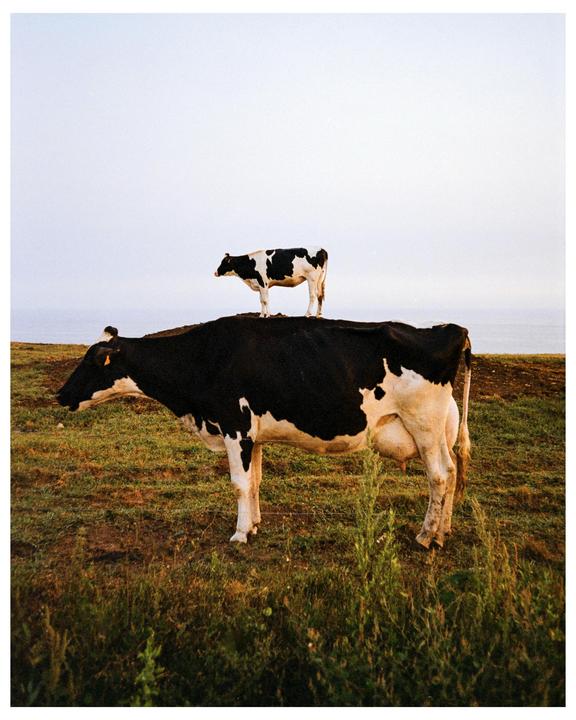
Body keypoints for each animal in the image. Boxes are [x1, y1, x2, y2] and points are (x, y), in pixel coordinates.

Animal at [56, 316, 472, 549]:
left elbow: (240, 484)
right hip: (440, 430)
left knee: (438, 476)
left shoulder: (235, 426)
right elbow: (254, 481)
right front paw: (254, 525)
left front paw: (240, 534)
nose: (60, 394)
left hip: (424, 423)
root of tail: (451, 329)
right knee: (452, 474)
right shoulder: (251, 434)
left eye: (90, 362)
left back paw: (426, 537)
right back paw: (444, 532)